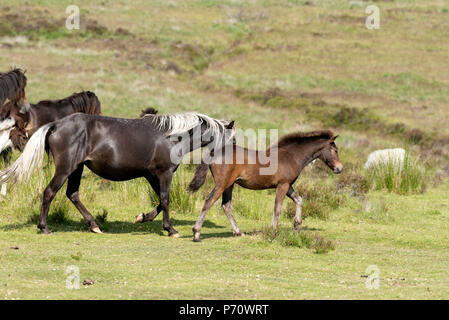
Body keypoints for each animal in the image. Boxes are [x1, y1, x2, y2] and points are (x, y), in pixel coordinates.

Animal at [187, 129, 342, 241]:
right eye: (335, 150)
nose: (340, 168)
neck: (291, 156)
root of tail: (214, 152)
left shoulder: (288, 185)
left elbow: (299, 200)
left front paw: (297, 225)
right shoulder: (282, 185)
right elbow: (277, 208)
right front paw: (273, 230)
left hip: (229, 185)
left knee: (226, 206)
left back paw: (238, 232)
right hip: (222, 184)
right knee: (209, 202)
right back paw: (196, 234)